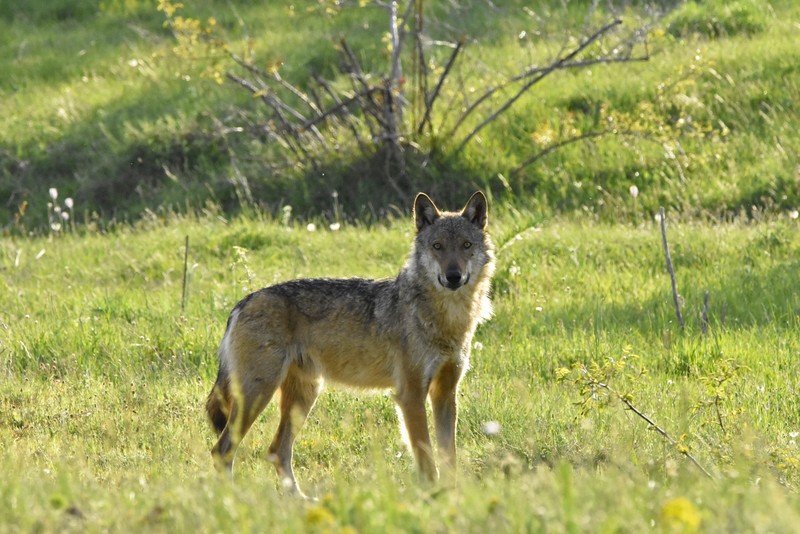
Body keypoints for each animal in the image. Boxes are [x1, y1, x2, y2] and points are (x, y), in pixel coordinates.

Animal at [205, 191, 495, 496]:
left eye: (466, 245)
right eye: (437, 246)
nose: (453, 276)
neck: (447, 320)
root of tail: (244, 301)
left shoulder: (445, 393)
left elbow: (449, 456)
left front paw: (453, 496)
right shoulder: (411, 394)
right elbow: (427, 460)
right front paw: (432, 497)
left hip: (303, 396)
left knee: (277, 451)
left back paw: (299, 500)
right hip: (258, 395)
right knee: (222, 450)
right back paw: (234, 499)